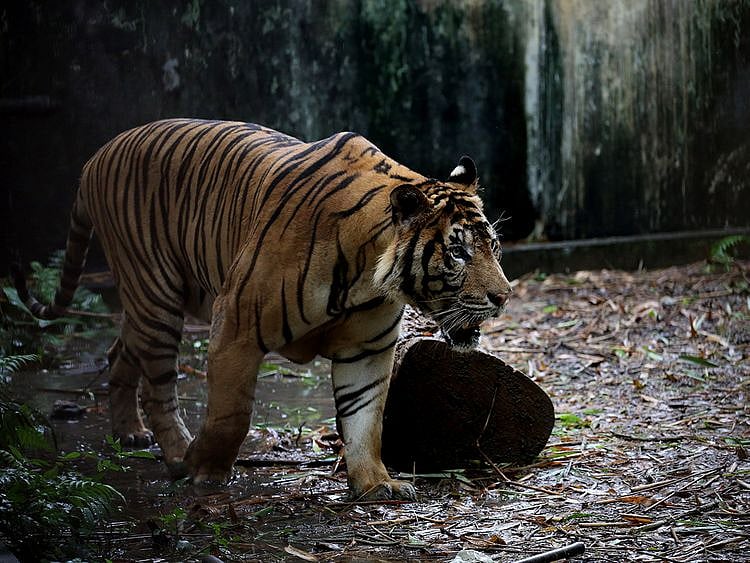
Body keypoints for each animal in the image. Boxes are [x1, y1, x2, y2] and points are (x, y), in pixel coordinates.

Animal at [14, 119, 512, 500]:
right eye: (459, 253)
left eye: (493, 246)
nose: (503, 296)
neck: (366, 277)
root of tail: (96, 156)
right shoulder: (235, 325)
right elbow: (232, 413)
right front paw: (206, 471)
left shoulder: (367, 349)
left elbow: (366, 418)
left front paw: (375, 483)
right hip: (155, 294)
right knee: (159, 386)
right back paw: (176, 453)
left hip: (146, 304)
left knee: (119, 352)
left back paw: (128, 432)